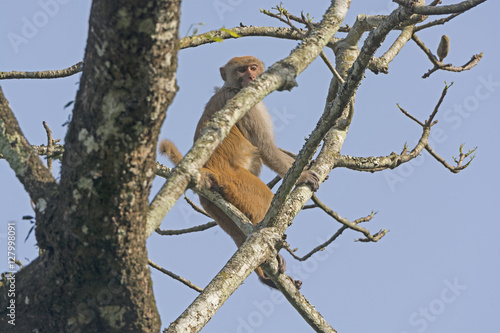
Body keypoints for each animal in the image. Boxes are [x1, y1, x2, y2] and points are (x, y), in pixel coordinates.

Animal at [162, 55, 322, 288]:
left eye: (253, 68)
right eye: (241, 70)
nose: (250, 77)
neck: (233, 87)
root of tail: (207, 169)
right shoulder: (249, 107)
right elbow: (265, 147)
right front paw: (303, 175)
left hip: (213, 204)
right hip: (240, 183)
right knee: (263, 203)